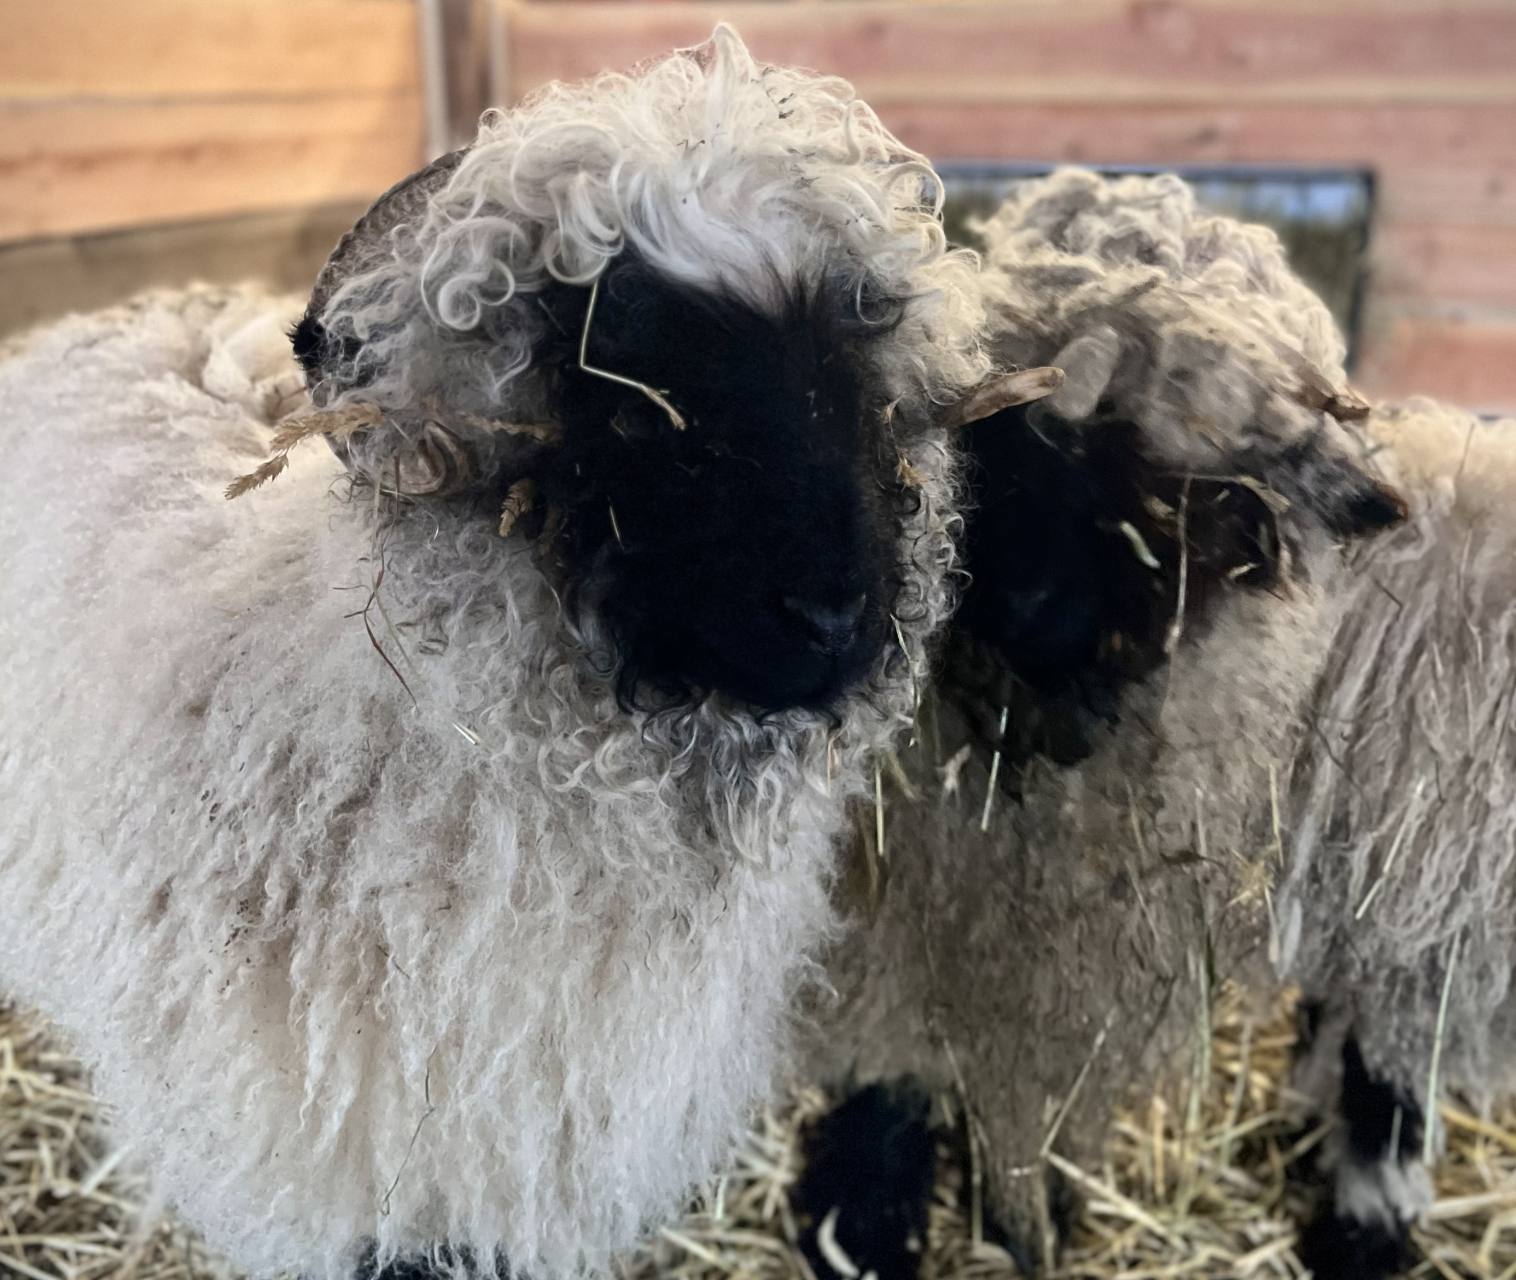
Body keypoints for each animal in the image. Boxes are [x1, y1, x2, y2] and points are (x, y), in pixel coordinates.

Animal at [796, 169, 1515, 1280]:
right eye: (1018, 448)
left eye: (1211, 510)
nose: (1031, 608)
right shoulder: (899, 923)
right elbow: (884, 1080)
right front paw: (861, 1222)